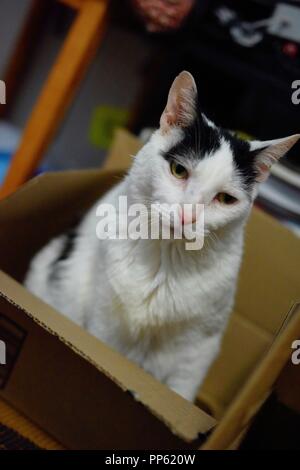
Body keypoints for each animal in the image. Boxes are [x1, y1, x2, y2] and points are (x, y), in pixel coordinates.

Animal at [24, 70, 298, 400]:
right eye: (179, 170)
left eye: (225, 199)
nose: (187, 216)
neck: (165, 262)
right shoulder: (103, 320)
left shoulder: (197, 350)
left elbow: (181, 392)